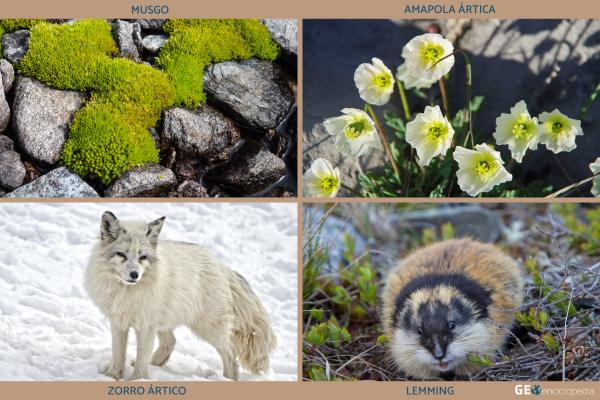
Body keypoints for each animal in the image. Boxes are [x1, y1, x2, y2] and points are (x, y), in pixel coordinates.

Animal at [84, 211, 276, 380]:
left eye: (142, 257)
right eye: (121, 254)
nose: (134, 275)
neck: (127, 293)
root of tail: (220, 264)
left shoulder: (146, 327)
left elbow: (141, 361)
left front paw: (137, 381)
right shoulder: (119, 323)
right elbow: (118, 355)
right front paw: (112, 377)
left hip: (209, 329)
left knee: (232, 360)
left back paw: (227, 381)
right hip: (166, 322)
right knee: (171, 342)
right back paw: (155, 365)